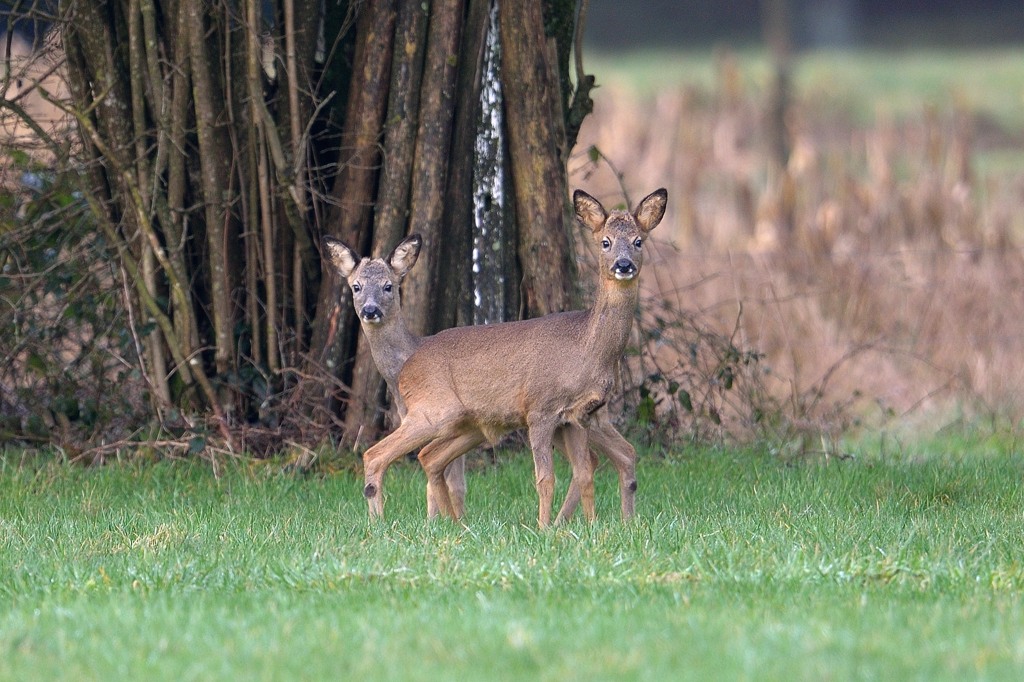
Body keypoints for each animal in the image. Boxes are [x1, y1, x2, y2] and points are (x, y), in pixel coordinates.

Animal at [323, 231, 634, 518]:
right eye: (356, 287)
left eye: (389, 286)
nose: (370, 310)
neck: (405, 359)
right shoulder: (465, 428)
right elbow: (451, 481)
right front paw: (443, 521)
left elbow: (448, 482)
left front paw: (440, 522)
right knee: (618, 454)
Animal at [356, 187, 667, 524]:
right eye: (605, 242)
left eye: (638, 241)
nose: (623, 265)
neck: (586, 347)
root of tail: (407, 368)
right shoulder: (540, 408)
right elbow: (545, 478)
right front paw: (544, 527)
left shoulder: (578, 415)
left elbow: (584, 473)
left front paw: (590, 526)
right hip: (432, 412)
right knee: (378, 454)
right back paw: (386, 523)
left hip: (467, 424)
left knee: (430, 457)